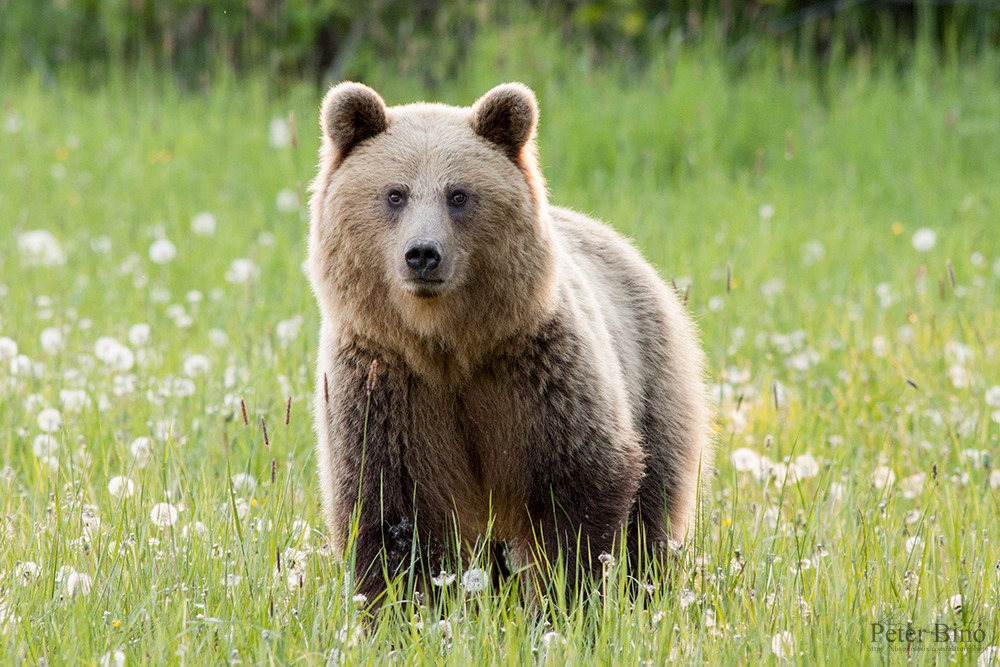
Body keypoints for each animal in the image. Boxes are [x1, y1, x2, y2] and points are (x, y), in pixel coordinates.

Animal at [306, 81, 712, 608]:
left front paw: (565, 601)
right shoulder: (385, 389)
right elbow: (389, 514)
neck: (447, 347)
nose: (423, 254)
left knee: (653, 516)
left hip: (653, 378)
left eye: (458, 194)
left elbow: (580, 488)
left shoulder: (538, 377)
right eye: (395, 194)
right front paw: (402, 610)